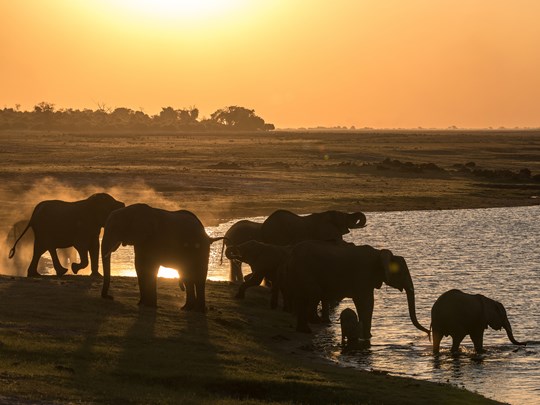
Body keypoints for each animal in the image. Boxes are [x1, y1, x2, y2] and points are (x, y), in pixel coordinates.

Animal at [282, 240, 430, 334]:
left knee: (301, 298)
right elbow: (366, 302)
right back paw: (311, 324)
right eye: (402, 272)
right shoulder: (363, 273)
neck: (379, 253)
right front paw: (367, 337)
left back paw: (304, 330)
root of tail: (290, 256)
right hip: (303, 271)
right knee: (314, 293)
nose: (429, 332)